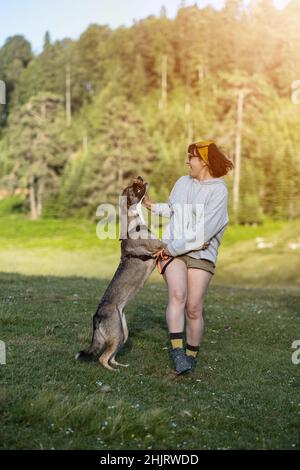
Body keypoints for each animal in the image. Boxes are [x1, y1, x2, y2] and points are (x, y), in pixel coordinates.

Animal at [74, 174, 165, 370]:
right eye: (135, 188)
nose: (140, 177)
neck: (133, 223)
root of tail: (96, 316)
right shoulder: (161, 246)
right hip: (117, 334)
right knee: (102, 358)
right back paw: (112, 370)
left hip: (123, 333)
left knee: (111, 356)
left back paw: (120, 366)